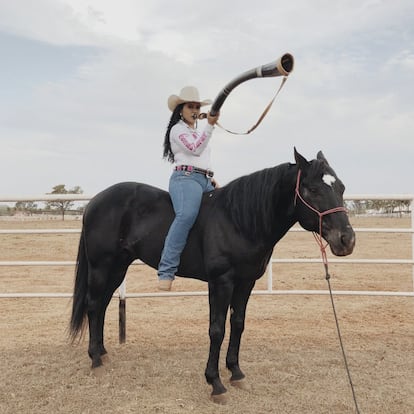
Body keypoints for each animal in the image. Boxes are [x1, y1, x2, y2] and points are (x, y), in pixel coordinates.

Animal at [69, 149, 354, 402]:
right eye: (313, 190)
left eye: (341, 187)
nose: (347, 240)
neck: (238, 219)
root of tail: (94, 202)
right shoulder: (221, 282)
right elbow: (217, 329)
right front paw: (215, 383)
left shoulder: (245, 282)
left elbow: (237, 323)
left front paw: (236, 373)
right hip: (101, 265)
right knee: (93, 305)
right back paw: (95, 359)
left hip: (118, 267)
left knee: (102, 306)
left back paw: (103, 353)